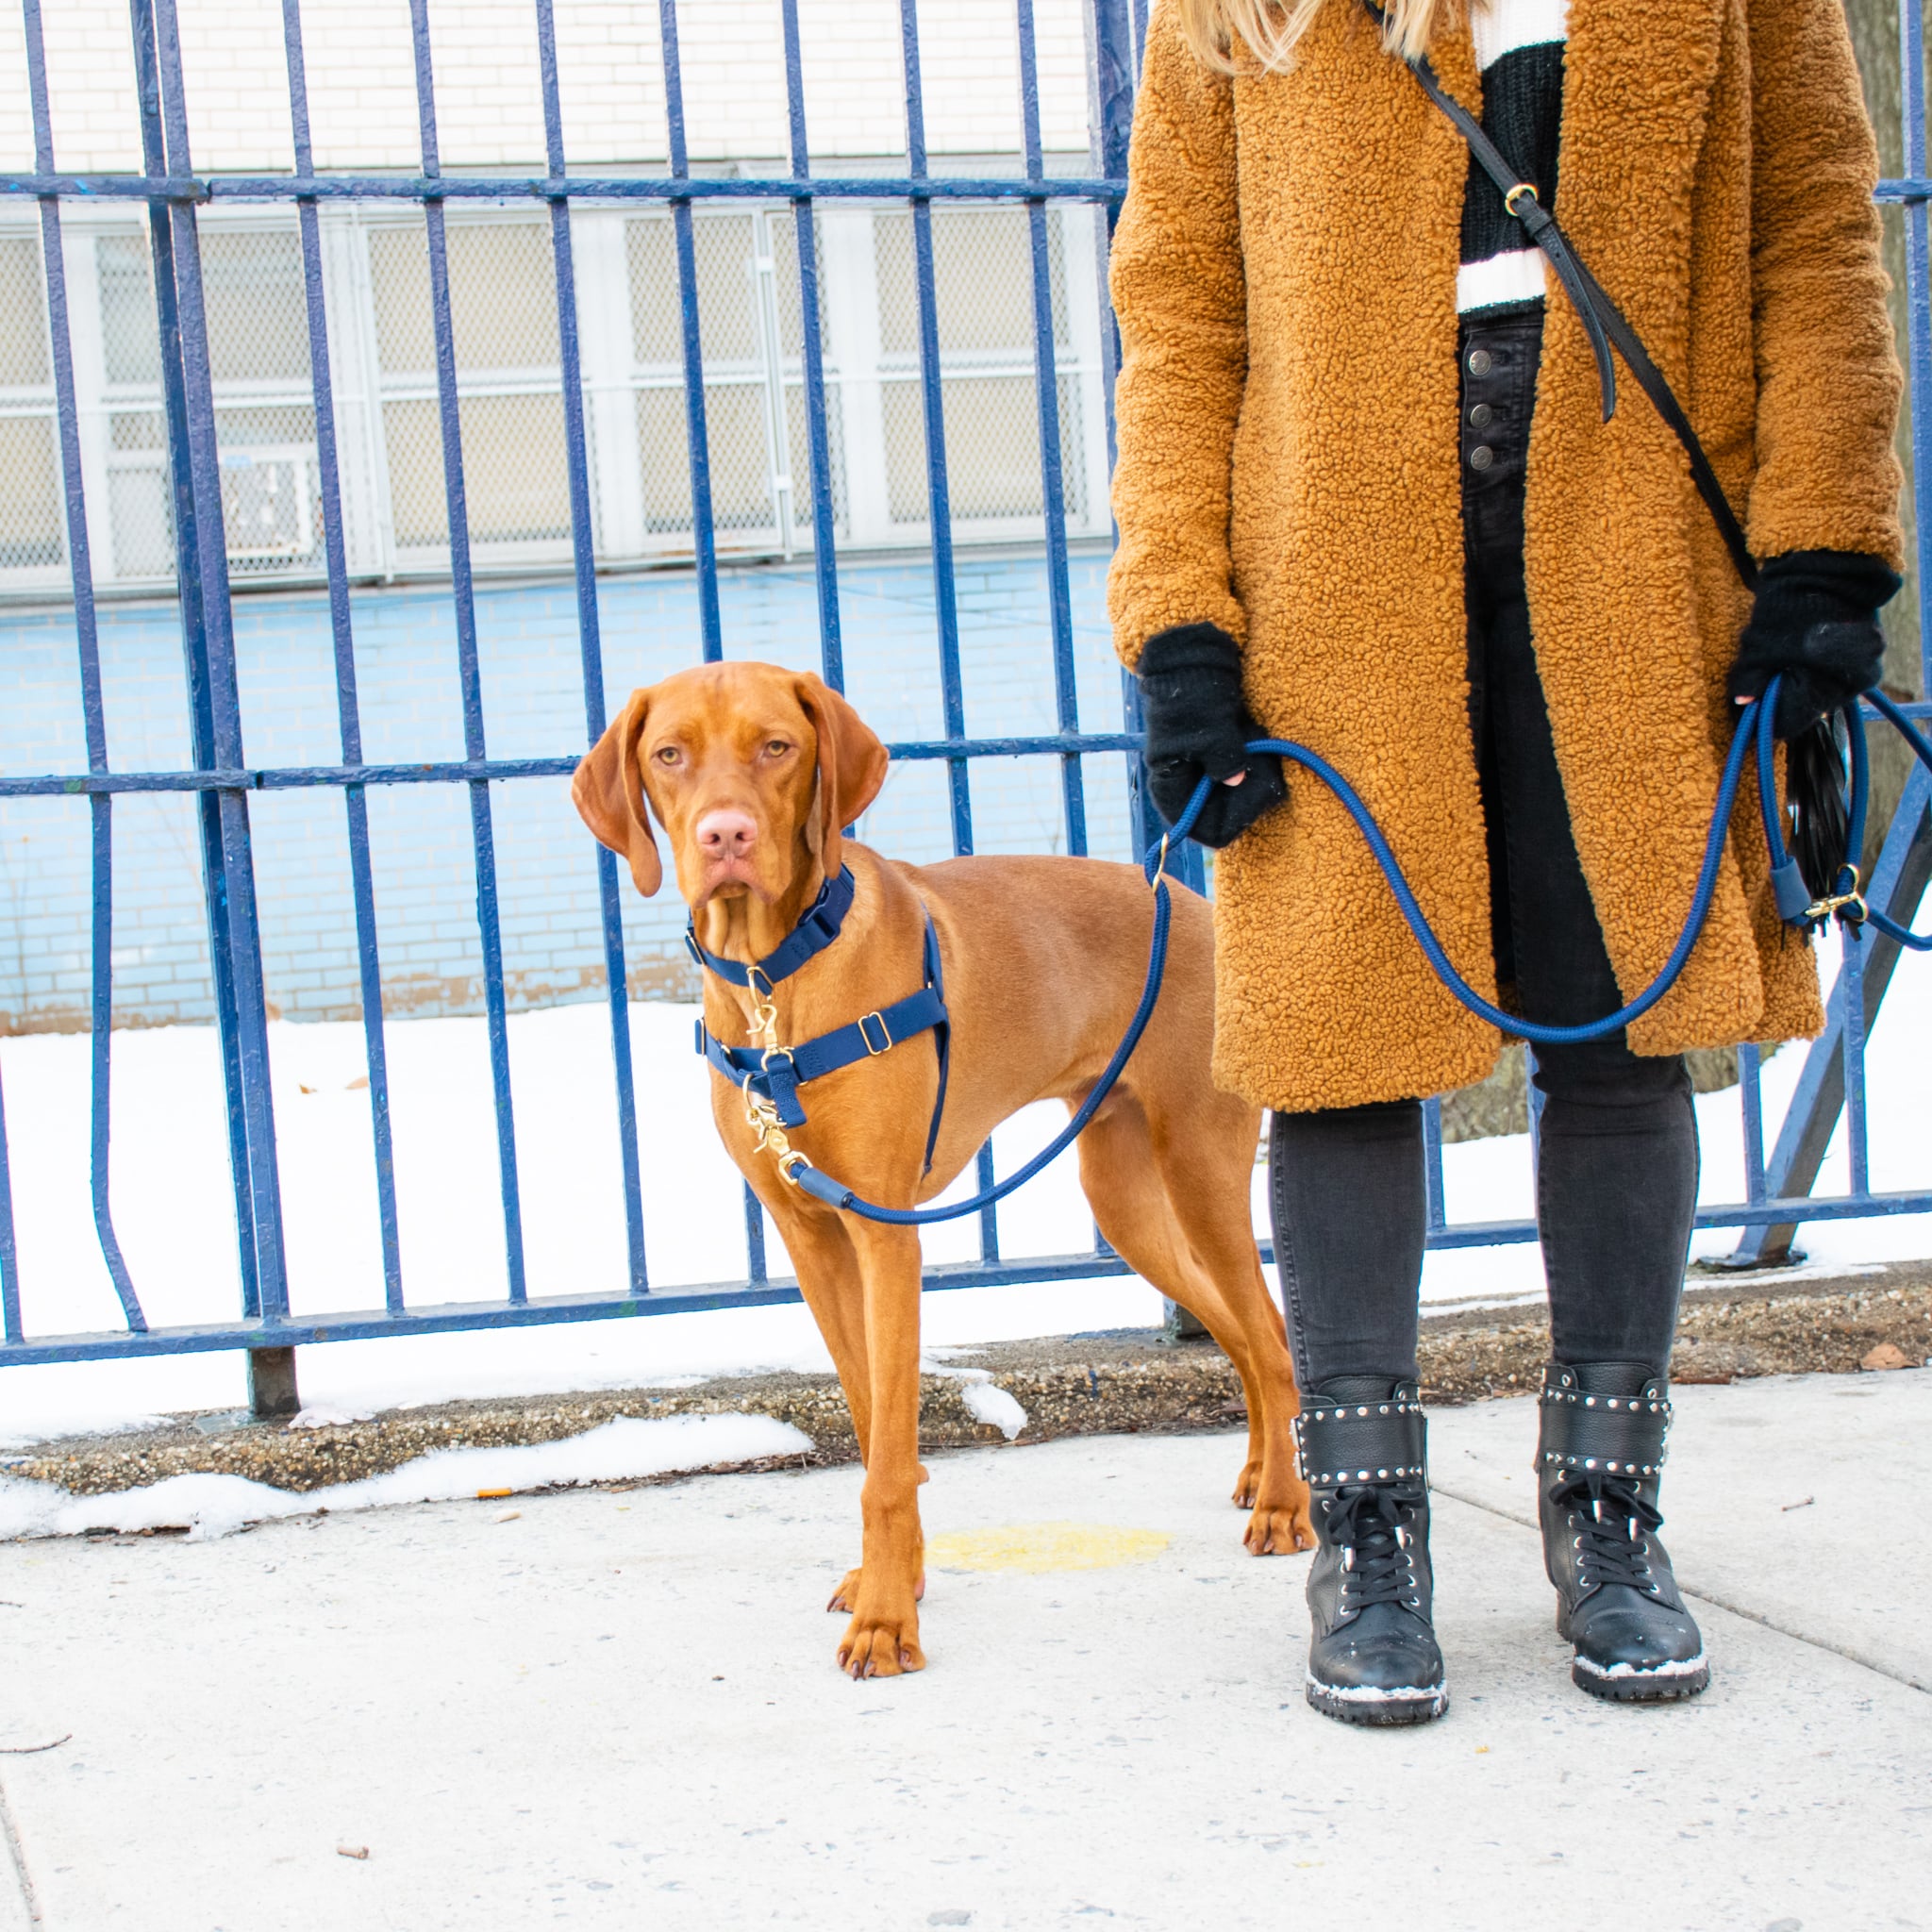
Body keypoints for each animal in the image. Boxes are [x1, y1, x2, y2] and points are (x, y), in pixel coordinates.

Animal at [564, 660, 1306, 1676]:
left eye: (776, 746)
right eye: (669, 754)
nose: (725, 835)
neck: (773, 977)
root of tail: (1187, 899)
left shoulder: (884, 1234)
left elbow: (886, 1454)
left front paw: (886, 1619)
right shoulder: (811, 1236)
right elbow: (872, 1416)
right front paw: (896, 1578)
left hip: (1197, 1165)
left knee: (1271, 1338)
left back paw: (1286, 1506)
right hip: (1123, 1198)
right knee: (1237, 1331)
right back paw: (1258, 1474)